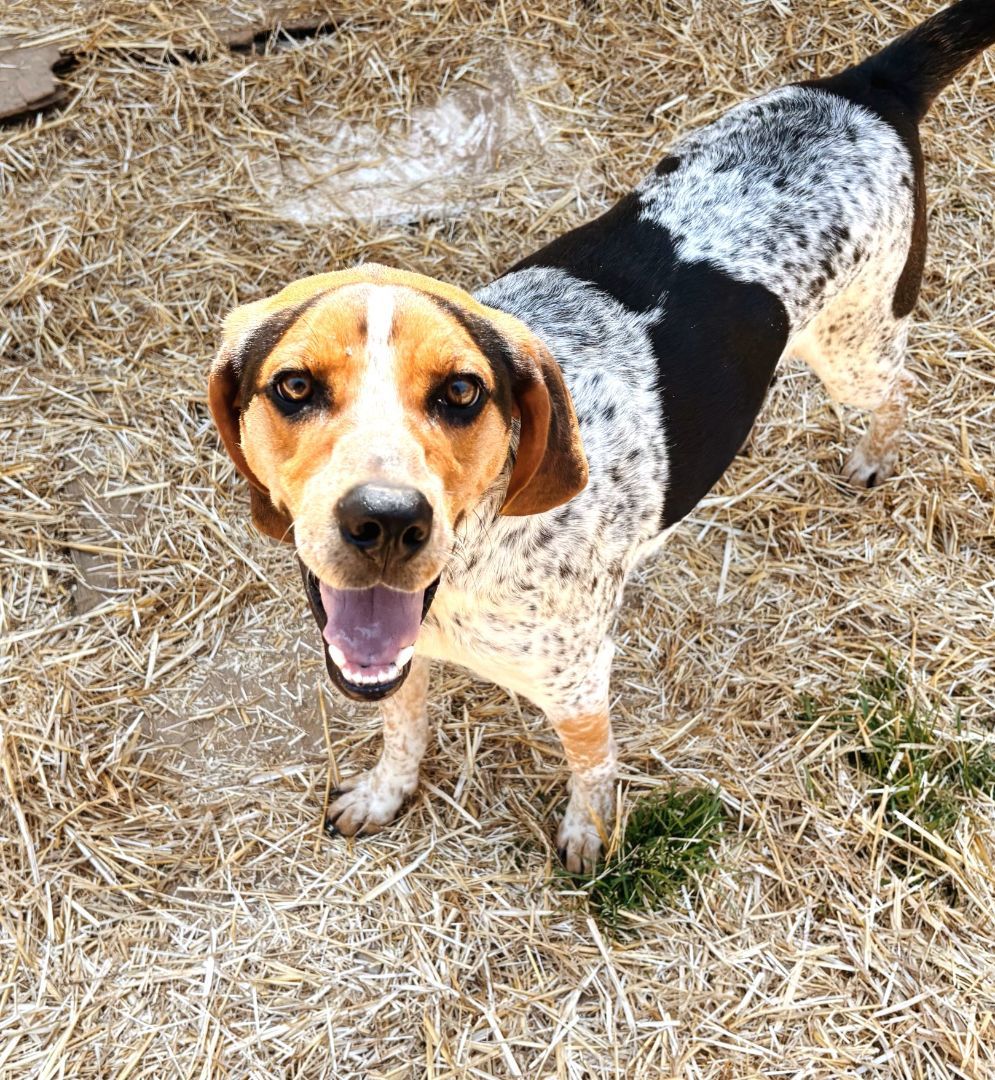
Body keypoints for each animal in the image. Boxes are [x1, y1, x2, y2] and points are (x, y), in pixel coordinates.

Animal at [205, 0, 989, 872]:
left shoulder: (577, 681)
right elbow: (402, 727)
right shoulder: (393, 653)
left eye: (460, 393)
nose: (384, 520)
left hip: (855, 344)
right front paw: (386, 792)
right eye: (295, 388)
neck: (481, 550)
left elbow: (590, 763)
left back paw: (872, 457)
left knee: (899, 389)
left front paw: (588, 831)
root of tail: (867, 88)